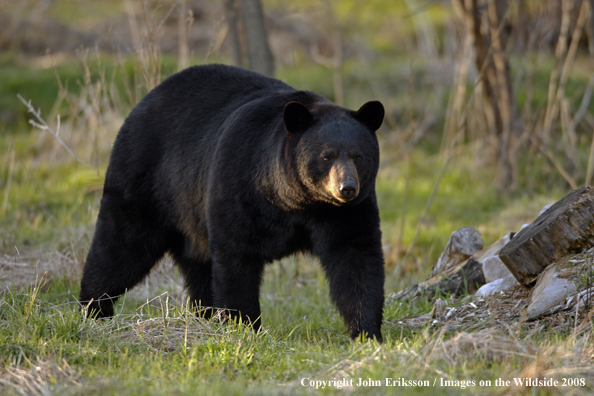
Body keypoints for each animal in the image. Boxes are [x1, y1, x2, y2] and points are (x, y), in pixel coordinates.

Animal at [78, 64, 384, 340]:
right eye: (326, 157)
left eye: (358, 156)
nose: (347, 188)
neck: (295, 202)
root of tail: (144, 101)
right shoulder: (240, 184)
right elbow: (235, 255)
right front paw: (244, 327)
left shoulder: (345, 213)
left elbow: (355, 256)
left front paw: (366, 333)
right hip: (146, 179)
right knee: (120, 247)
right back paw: (93, 311)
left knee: (197, 266)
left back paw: (201, 315)